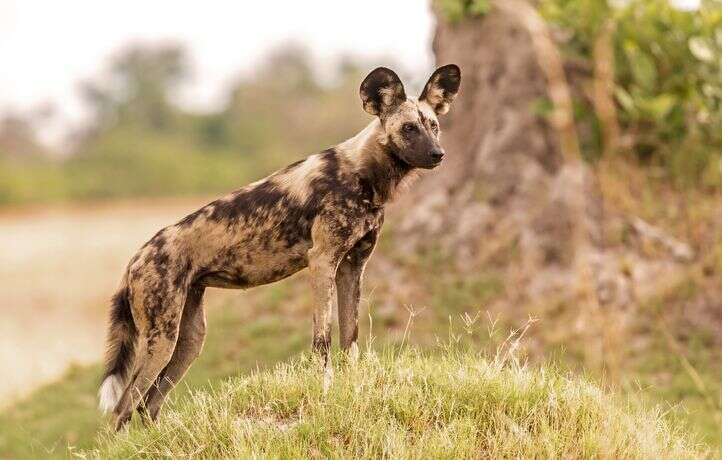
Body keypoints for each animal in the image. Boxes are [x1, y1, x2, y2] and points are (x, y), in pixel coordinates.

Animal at [98, 63, 458, 428]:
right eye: (409, 128)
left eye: (434, 126)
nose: (438, 154)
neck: (363, 174)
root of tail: (136, 258)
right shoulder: (322, 262)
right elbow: (323, 341)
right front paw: (325, 396)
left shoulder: (352, 267)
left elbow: (351, 339)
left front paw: (354, 394)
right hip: (161, 340)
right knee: (123, 407)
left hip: (187, 340)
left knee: (148, 404)